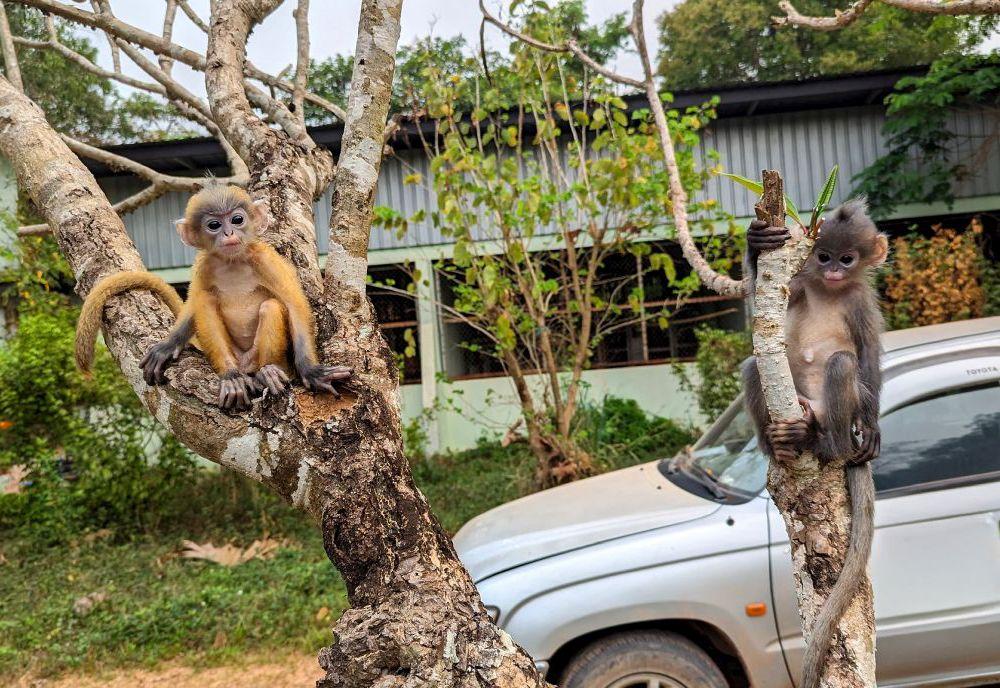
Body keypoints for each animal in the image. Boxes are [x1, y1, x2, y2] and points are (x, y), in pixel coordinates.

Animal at [78, 184, 352, 408]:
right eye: (214, 225)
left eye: (237, 219)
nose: (229, 233)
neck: (233, 263)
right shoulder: (205, 265)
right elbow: (195, 305)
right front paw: (169, 344)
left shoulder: (265, 259)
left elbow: (294, 305)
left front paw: (311, 371)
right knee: (207, 301)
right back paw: (233, 377)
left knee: (271, 306)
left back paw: (267, 374)